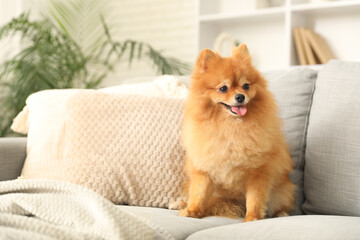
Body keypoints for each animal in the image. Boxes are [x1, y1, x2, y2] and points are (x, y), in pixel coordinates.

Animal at [180, 44, 296, 222]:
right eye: (223, 88)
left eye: (246, 86)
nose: (240, 96)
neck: (231, 127)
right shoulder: (204, 169)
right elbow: (199, 193)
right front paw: (193, 211)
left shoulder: (258, 173)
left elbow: (255, 199)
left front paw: (252, 218)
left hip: (282, 191)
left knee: (280, 203)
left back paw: (281, 213)